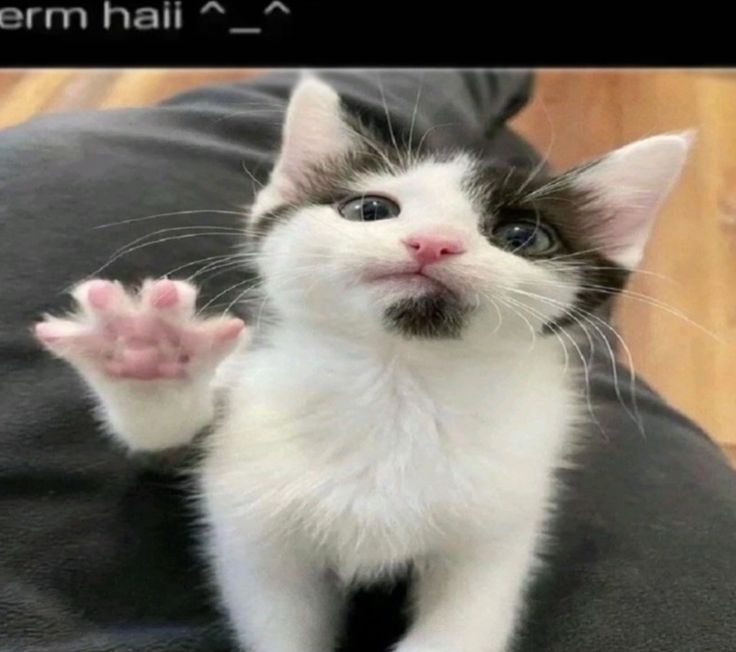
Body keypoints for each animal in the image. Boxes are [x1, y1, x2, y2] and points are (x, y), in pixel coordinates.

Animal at [34, 76, 690, 652]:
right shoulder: (254, 520)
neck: (398, 378)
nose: (434, 242)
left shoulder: (496, 531)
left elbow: (466, 620)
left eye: (523, 237)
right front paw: (146, 351)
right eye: (370, 209)